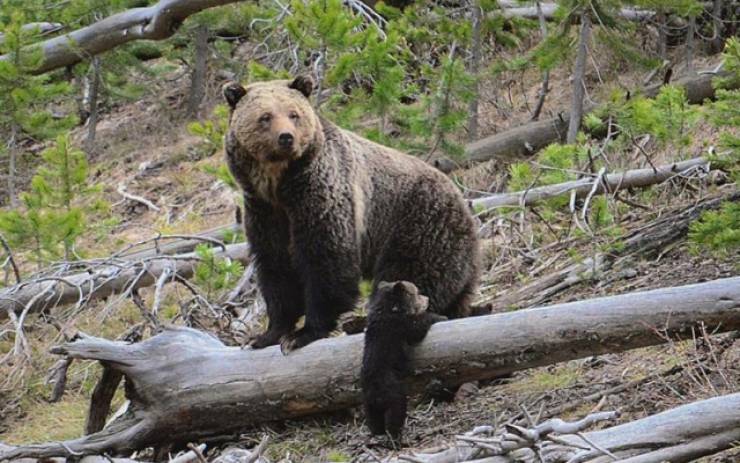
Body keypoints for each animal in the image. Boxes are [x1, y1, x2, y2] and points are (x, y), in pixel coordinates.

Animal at [224, 76, 480, 354]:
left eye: (293, 114)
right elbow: (276, 269)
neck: (279, 185)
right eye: (265, 116)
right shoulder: (264, 212)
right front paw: (267, 335)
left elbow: (326, 260)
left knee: (408, 275)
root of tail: (465, 205)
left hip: (420, 223)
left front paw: (303, 334)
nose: (286, 138)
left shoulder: (321, 196)